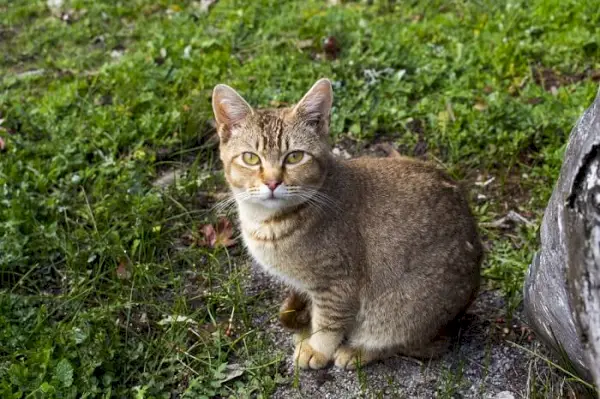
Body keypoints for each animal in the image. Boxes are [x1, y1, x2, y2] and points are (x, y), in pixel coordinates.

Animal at [211, 79, 482, 372]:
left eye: (294, 157)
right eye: (250, 158)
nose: (273, 182)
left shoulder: (338, 282)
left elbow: (329, 322)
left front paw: (317, 349)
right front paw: (302, 326)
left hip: (406, 311)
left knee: (417, 345)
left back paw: (357, 350)